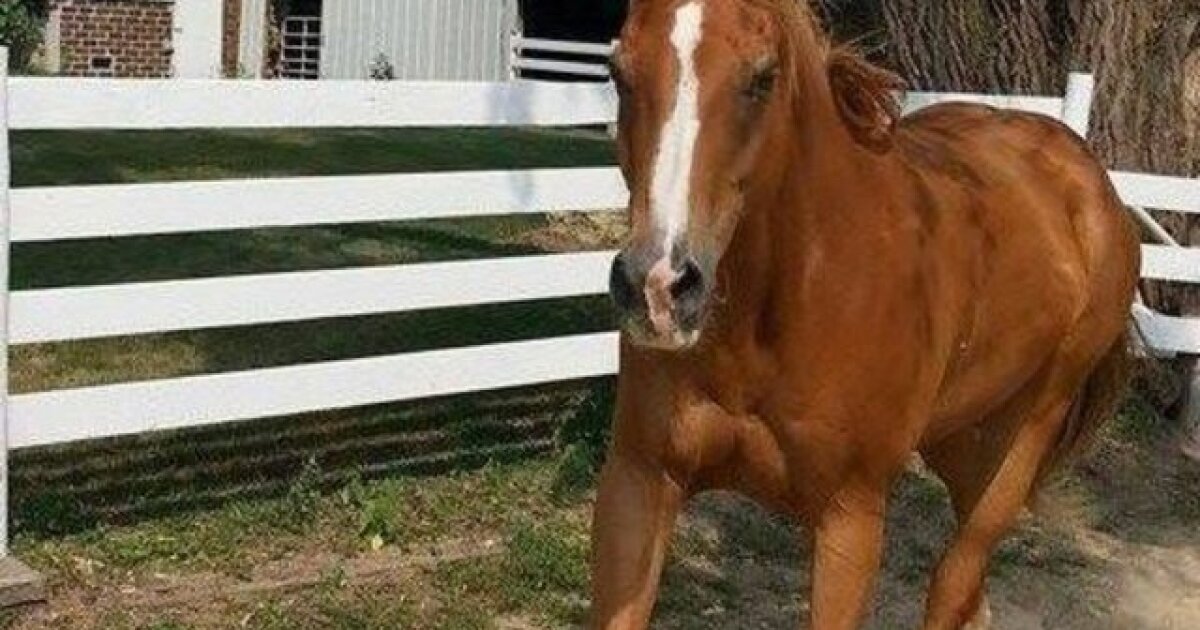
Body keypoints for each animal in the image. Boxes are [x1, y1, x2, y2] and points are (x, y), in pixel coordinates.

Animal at [590, 0, 1141, 628]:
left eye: (763, 77)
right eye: (618, 72)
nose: (658, 286)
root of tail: (1091, 182)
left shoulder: (849, 519)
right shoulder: (639, 482)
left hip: (1021, 444)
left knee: (954, 581)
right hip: (961, 444)